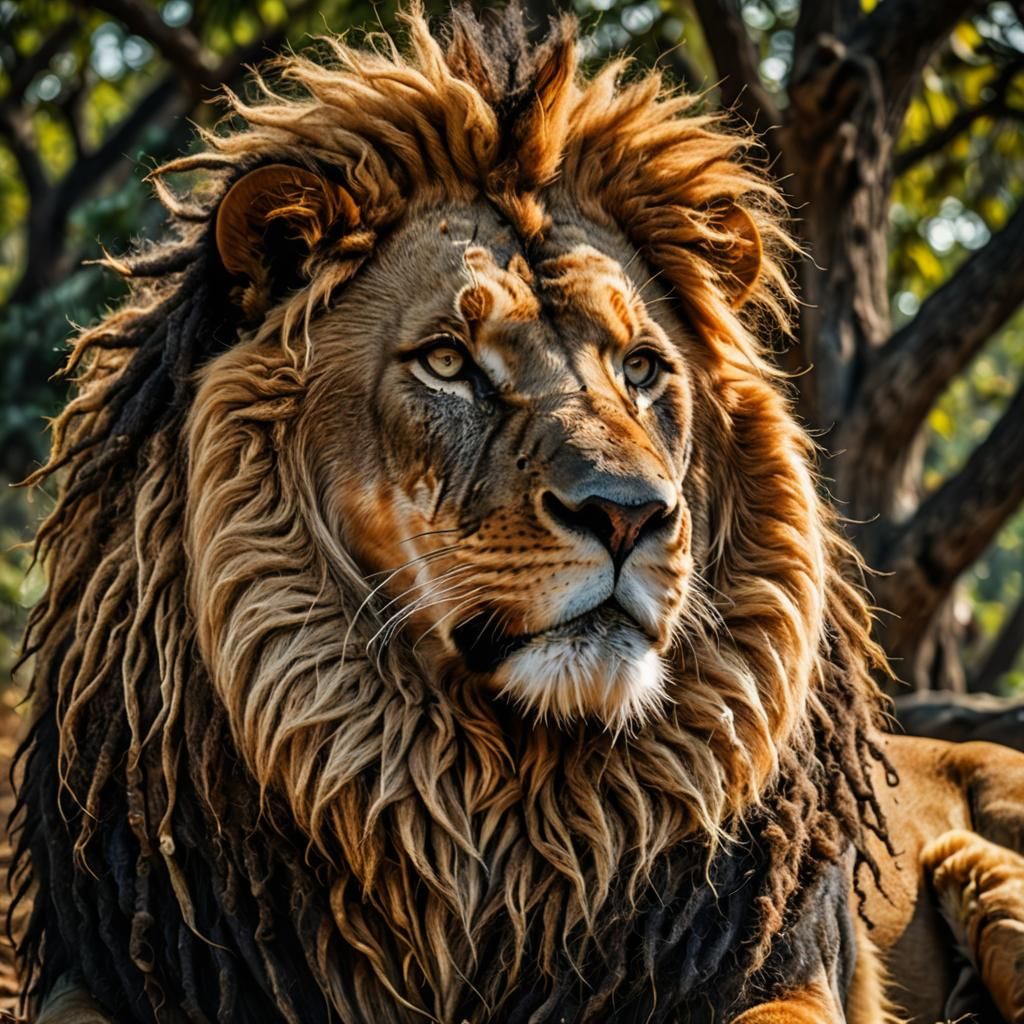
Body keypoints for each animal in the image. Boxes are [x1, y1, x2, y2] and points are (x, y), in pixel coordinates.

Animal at [9, 7, 1024, 1023]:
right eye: (448, 362)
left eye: (641, 368)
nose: (628, 516)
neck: (499, 811)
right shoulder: (112, 971)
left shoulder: (778, 975)